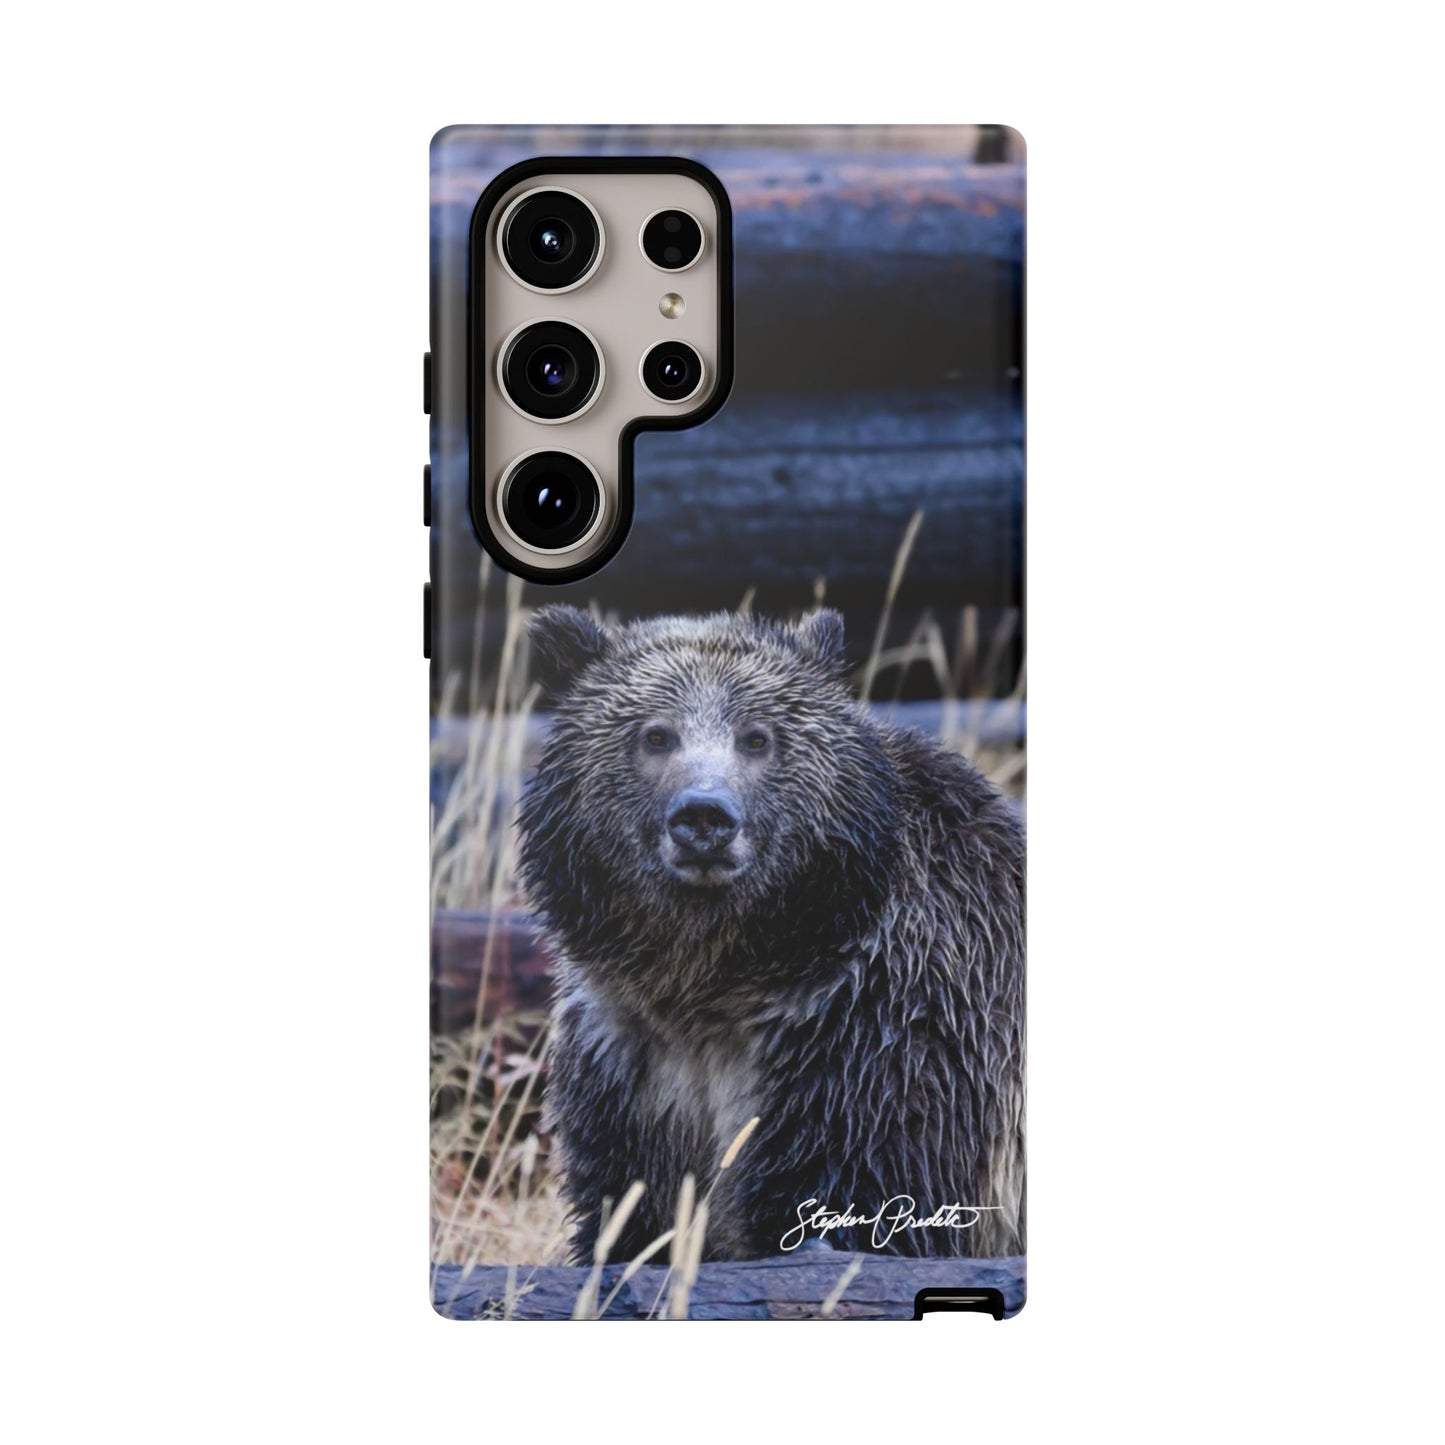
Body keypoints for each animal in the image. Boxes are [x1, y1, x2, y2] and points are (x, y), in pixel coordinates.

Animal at [517, 605, 1025, 1264]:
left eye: (757, 737)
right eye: (656, 735)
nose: (704, 817)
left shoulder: (882, 1043)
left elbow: (862, 1204)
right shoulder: (631, 1064)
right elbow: (628, 1214)